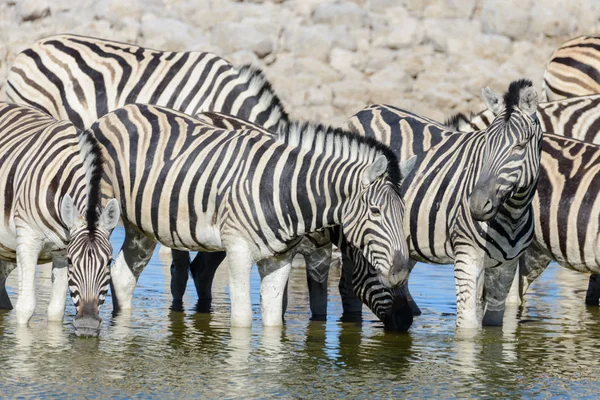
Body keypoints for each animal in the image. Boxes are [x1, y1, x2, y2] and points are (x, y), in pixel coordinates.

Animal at [0, 101, 120, 334]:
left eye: (109, 262)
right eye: (73, 261)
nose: (87, 325)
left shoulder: (61, 249)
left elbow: (55, 312)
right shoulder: (27, 241)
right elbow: (25, 307)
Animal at [79, 103, 410, 328]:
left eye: (404, 213)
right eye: (376, 211)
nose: (400, 272)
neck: (286, 189)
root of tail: (119, 110)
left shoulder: (280, 259)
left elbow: (274, 320)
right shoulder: (239, 251)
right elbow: (242, 319)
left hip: (142, 226)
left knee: (123, 276)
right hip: (103, 209)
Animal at [342, 79, 544, 328]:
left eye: (520, 146)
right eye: (485, 144)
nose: (476, 205)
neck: (513, 213)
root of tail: (368, 108)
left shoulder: (507, 267)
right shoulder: (467, 259)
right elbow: (468, 327)